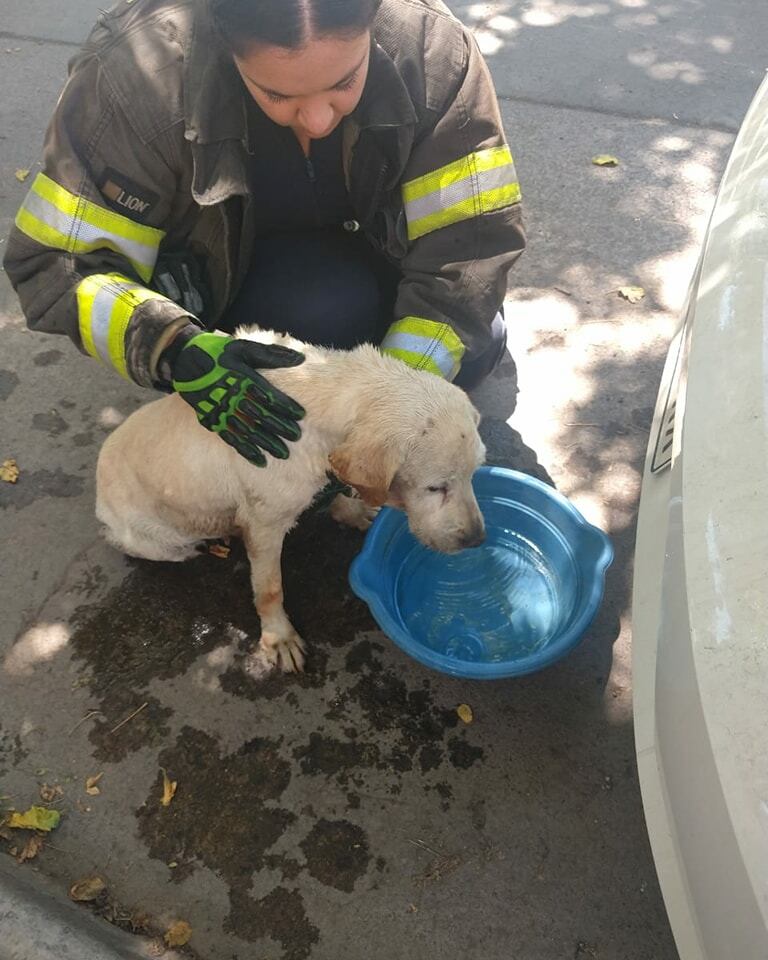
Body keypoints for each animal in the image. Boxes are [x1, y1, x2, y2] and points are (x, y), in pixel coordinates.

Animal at [97, 326, 486, 672]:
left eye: (474, 472)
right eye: (436, 487)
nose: (477, 539)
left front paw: (353, 510)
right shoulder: (265, 525)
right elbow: (270, 589)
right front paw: (278, 638)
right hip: (156, 540)